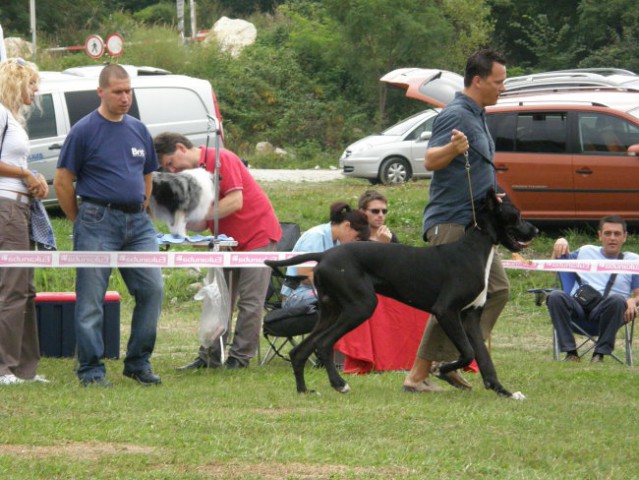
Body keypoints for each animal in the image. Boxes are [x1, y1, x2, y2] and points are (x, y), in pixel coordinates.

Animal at [264, 189, 540, 400]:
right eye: (516, 216)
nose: (535, 230)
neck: (475, 248)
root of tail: (324, 255)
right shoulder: (446, 312)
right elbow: (468, 353)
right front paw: (442, 369)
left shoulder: (471, 317)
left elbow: (484, 360)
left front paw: (504, 392)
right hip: (360, 306)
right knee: (323, 344)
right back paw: (339, 384)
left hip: (331, 310)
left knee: (299, 351)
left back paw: (304, 390)